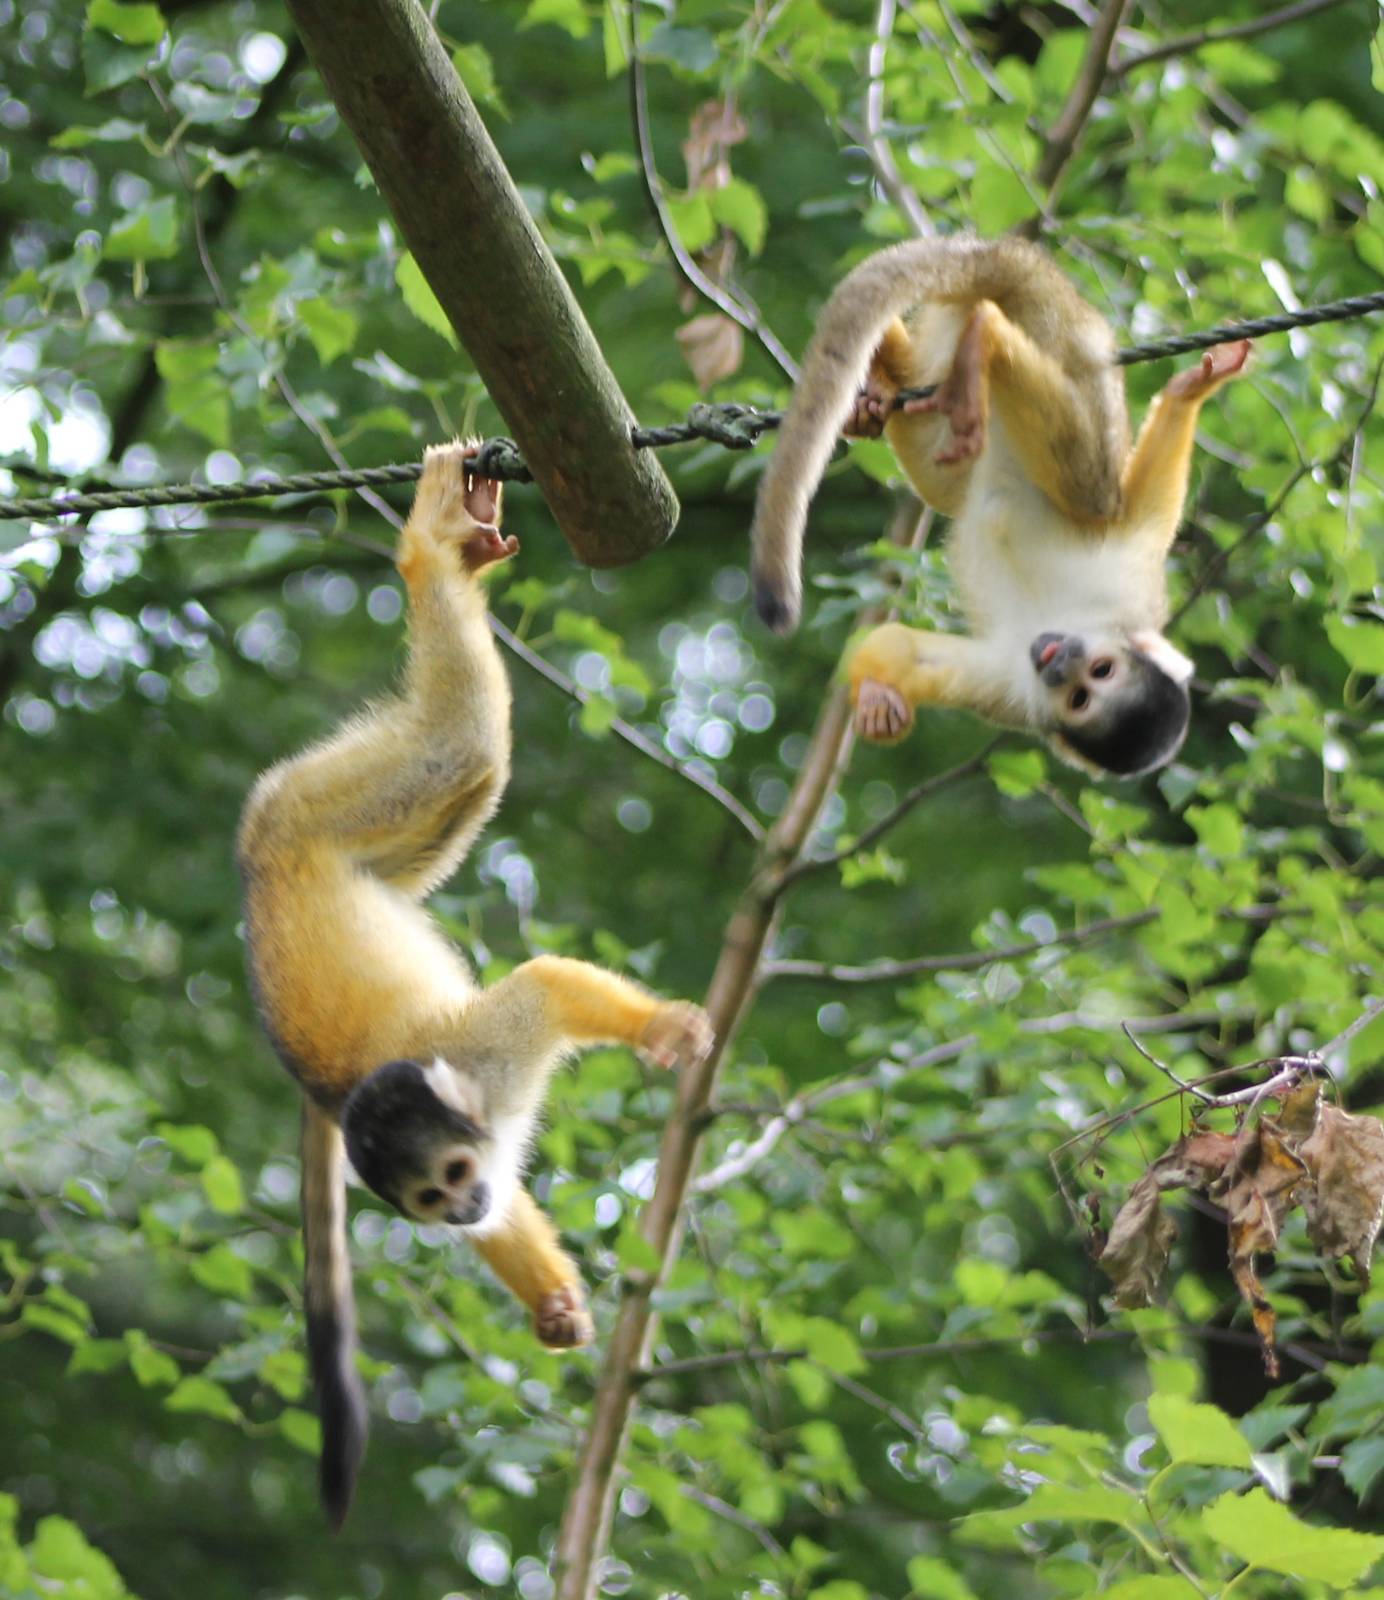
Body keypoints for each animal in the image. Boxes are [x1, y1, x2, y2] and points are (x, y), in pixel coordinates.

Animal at [237, 441, 714, 1527]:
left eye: (450, 1180)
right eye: (431, 1200)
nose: (457, 1212)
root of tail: (256, 866)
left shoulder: (490, 1050)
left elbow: (538, 990)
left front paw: (662, 1031)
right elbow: (515, 1209)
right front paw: (551, 1302)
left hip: (313, 804)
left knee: (462, 745)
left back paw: (435, 551)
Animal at [748, 233, 1251, 778]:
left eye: (1083, 696)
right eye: (1101, 669)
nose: (1062, 662)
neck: (1072, 621)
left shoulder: (1017, 696)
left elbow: (909, 654)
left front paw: (879, 703)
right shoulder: (1130, 599)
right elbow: (1139, 516)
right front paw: (1191, 390)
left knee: (948, 481)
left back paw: (896, 379)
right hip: (1076, 346)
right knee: (1093, 494)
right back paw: (983, 337)